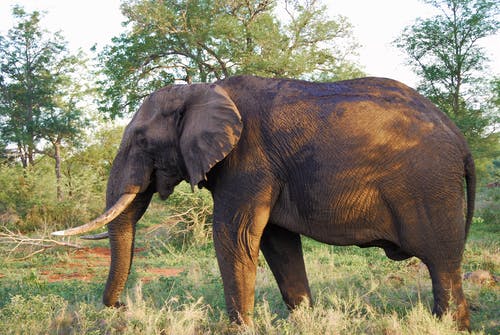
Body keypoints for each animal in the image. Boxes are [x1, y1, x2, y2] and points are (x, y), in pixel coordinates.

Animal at [52, 75, 474, 330]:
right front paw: (303, 324)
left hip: (430, 188)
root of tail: (459, 135)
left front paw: (240, 329)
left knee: (441, 264)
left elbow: (234, 236)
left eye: (141, 139)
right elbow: (277, 242)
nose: (121, 308)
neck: (202, 90)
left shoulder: (249, 161)